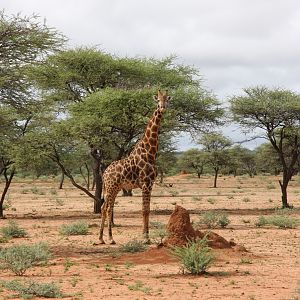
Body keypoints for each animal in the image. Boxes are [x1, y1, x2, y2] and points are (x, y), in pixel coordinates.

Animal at [99, 89, 171, 244]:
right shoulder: (145, 183)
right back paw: (110, 238)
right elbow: (144, 210)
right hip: (112, 187)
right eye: (157, 100)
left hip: (113, 188)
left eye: (167, 100)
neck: (150, 153)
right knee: (108, 209)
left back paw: (101, 238)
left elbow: (147, 209)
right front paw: (145, 237)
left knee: (103, 207)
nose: (162, 108)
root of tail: (104, 173)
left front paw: (147, 236)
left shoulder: (150, 184)